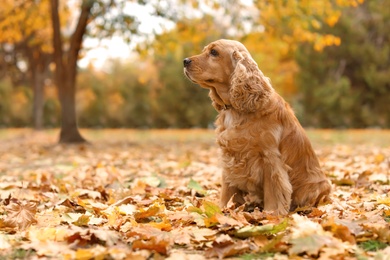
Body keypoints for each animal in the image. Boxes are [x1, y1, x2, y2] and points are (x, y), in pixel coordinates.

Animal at [184, 38, 330, 213]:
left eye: (214, 52)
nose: (185, 61)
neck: (236, 110)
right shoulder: (229, 158)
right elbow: (227, 190)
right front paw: (221, 210)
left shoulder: (270, 159)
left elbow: (273, 190)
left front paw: (271, 213)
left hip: (316, 187)